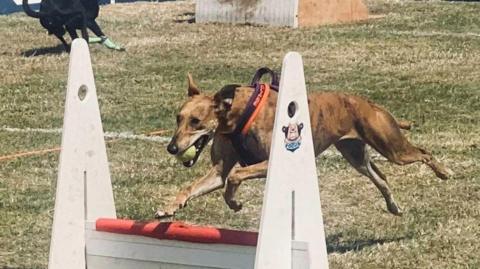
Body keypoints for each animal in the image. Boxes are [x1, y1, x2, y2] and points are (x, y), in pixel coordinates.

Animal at [156, 73, 452, 218]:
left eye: (196, 121)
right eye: (178, 118)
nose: (172, 148)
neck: (238, 114)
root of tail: (370, 104)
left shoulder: (270, 163)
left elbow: (235, 175)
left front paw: (233, 201)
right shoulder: (219, 169)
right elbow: (195, 186)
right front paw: (169, 207)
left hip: (392, 147)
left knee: (423, 153)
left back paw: (444, 172)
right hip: (357, 155)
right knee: (382, 178)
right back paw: (393, 207)